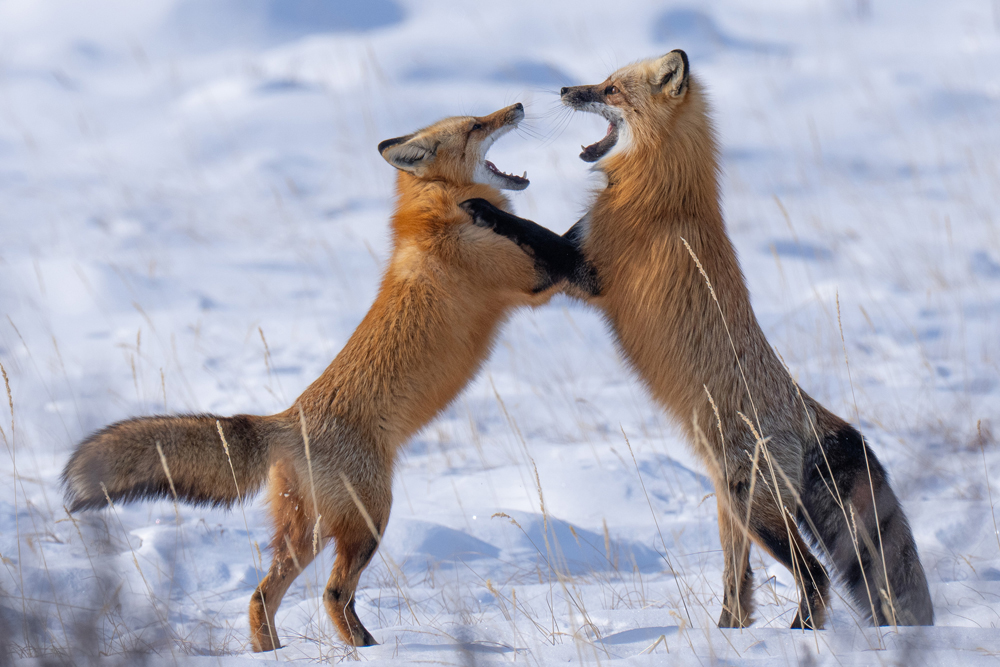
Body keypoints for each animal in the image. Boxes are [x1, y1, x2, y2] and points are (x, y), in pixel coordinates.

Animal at [62, 103, 596, 651]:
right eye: (475, 126)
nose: (516, 106)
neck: (436, 212)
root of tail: (284, 420)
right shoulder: (536, 281)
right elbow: (560, 243)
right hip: (370, 520)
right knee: (334, 593)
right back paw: (366, 649)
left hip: (310, 532)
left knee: (261, 595)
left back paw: (275, 655)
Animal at [462, 51, 933, 629]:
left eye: (610, 89)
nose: (566, 89)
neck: (661, 192)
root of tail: (804, 410)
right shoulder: (572, 259)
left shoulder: (584, 271)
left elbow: (529, 230)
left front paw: (482, 208)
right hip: (733, 513)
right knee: (739, 586)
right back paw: (730, 636)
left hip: (754, 507)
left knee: (815, 575)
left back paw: (799, 636)